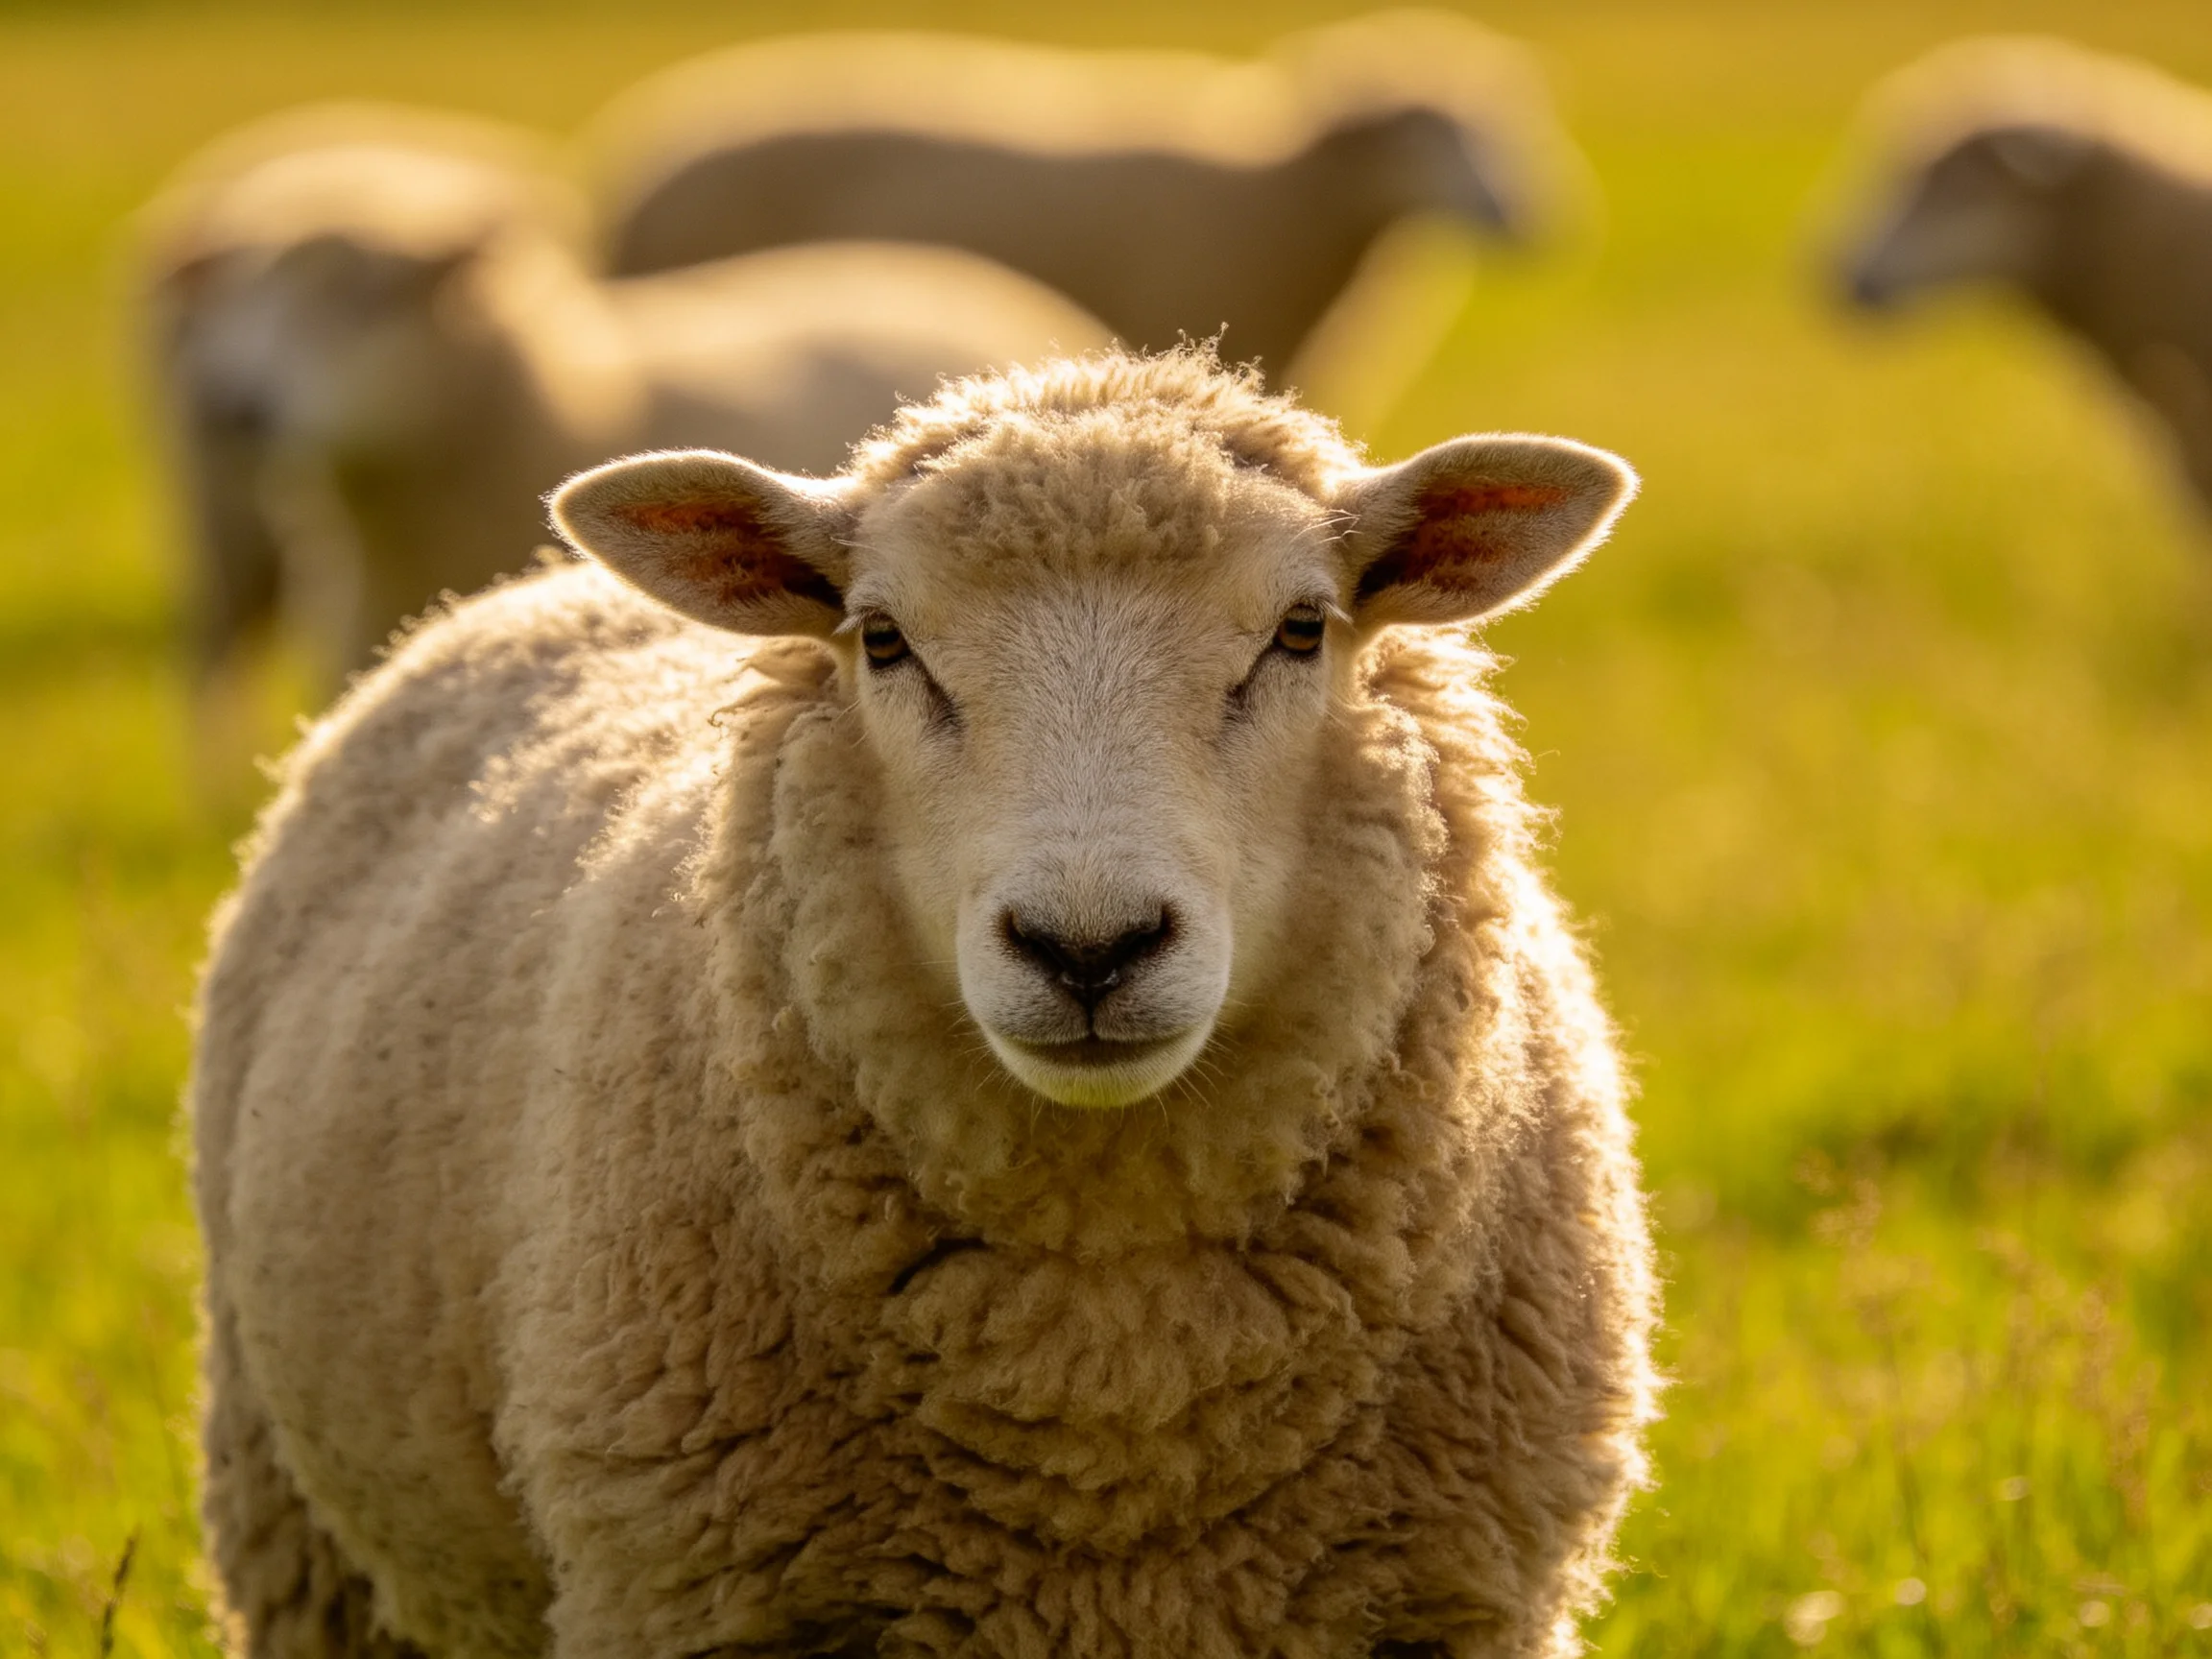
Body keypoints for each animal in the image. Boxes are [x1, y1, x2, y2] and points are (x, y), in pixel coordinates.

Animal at [190, 349, 1658, 1658]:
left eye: (1302, 631)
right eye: (885, 642)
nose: (1087, 945)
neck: (1110, 1338)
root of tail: (520, 590)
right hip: (299, 1530)